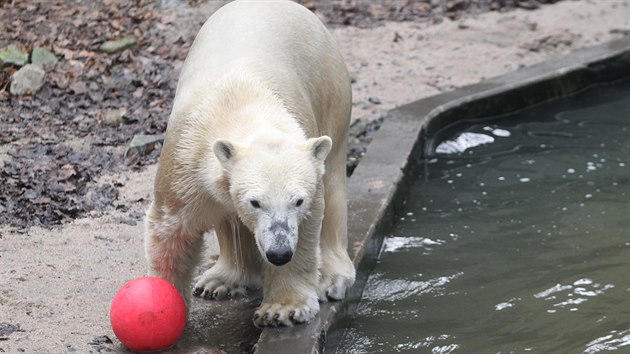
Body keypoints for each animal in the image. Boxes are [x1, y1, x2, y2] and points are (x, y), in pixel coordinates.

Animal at [145, 0, 358, 326]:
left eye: (298, 200)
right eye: (255, 202)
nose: (279, 252)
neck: (241, 101)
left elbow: (309, 225)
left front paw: (282, 308)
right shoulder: (186, 159)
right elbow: (172, 229)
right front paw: (161, 302)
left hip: (331, 92)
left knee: (333, 183)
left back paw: (331, 279)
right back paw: (220, 280)